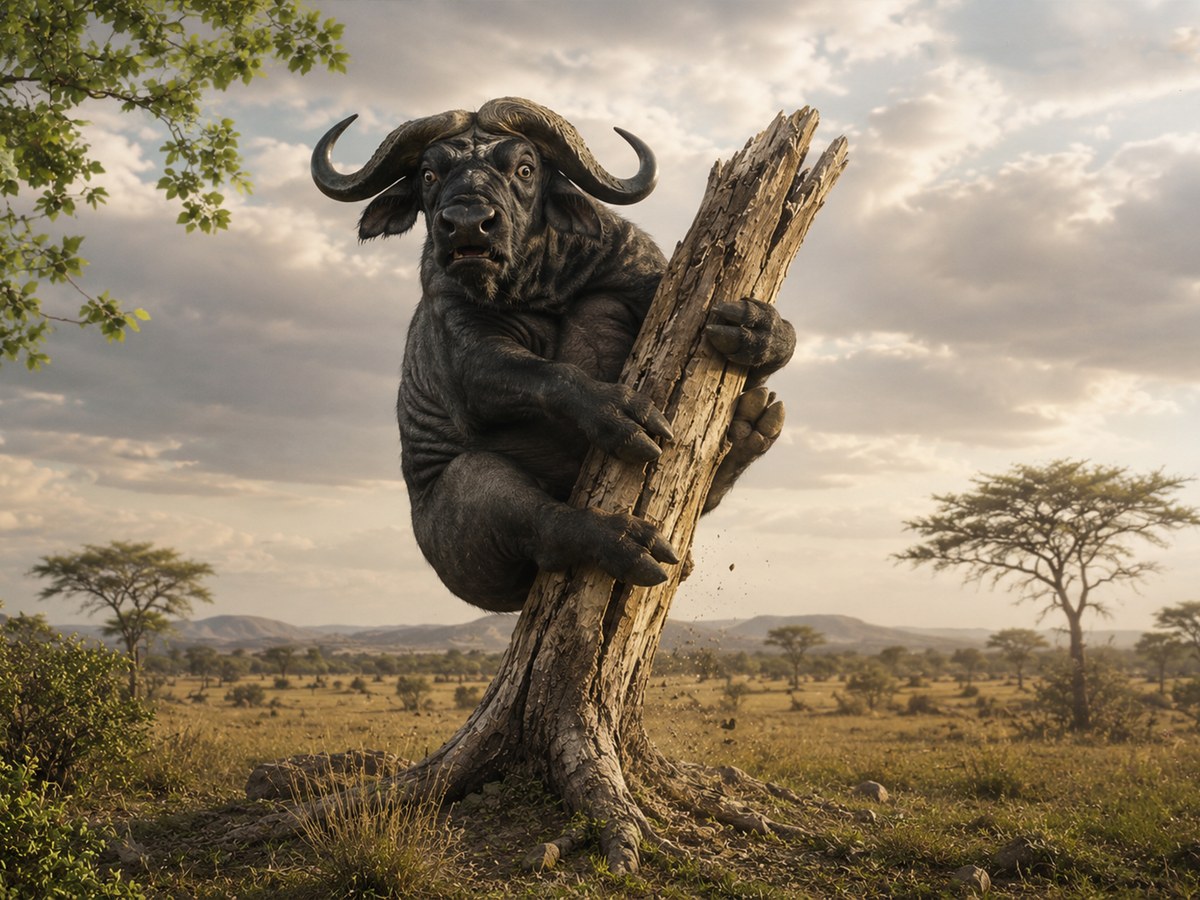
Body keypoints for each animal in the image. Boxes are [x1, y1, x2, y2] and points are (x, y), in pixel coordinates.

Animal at [312, 97, 794, 611]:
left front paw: (759, 329)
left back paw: (750, 429)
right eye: (428, 173)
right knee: (548, 526)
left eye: (524, 168)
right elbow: (548, 375)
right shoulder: (468, 361)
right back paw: (622, 540)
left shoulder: (651, 277)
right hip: (474, 488)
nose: (466, 224)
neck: (544, 283)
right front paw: (619, 414)